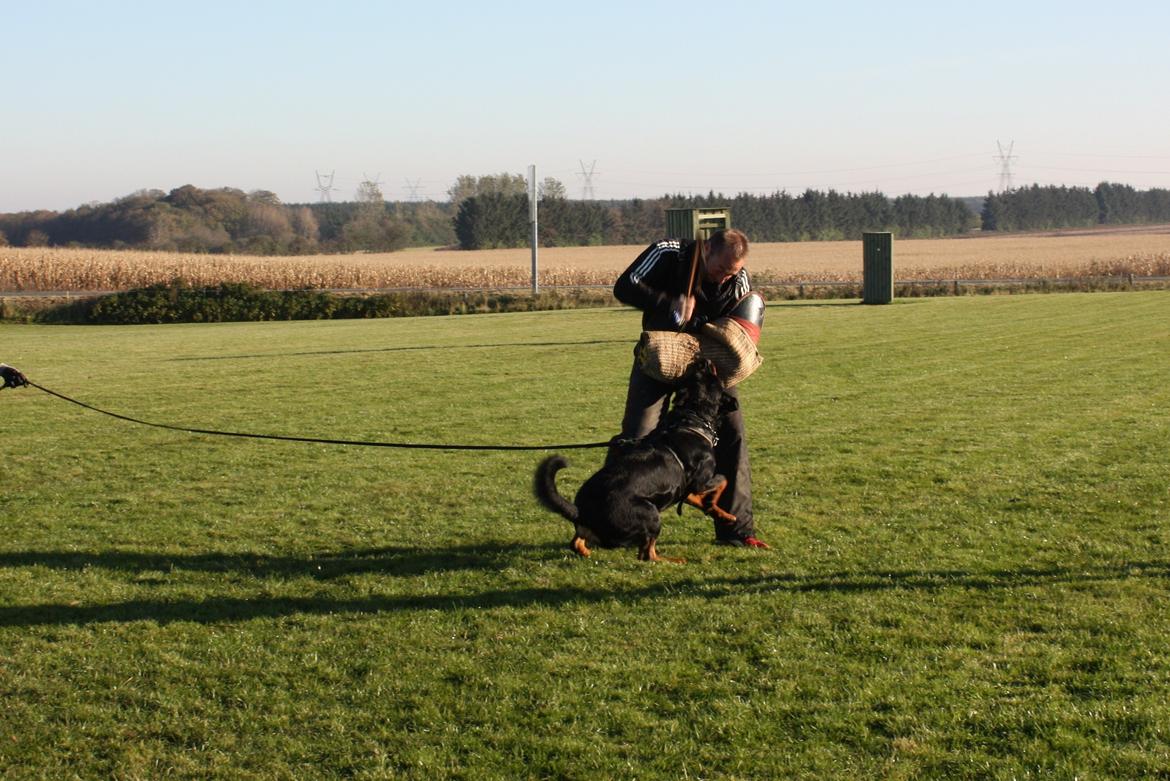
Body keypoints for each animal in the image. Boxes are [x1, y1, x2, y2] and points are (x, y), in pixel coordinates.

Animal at [535, 360, 734, 561]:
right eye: (709, 376)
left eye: (693, 374)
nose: (702, 361)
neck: (692, 419)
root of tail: (582, 512)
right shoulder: (700, 481)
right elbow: (723, 480)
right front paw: (717, 508)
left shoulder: (686, 488)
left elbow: (697, 496)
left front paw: (721, 514)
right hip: (651, 514)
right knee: (647, 554)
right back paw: (673, 560)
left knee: (576, 542)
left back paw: (586, 552)